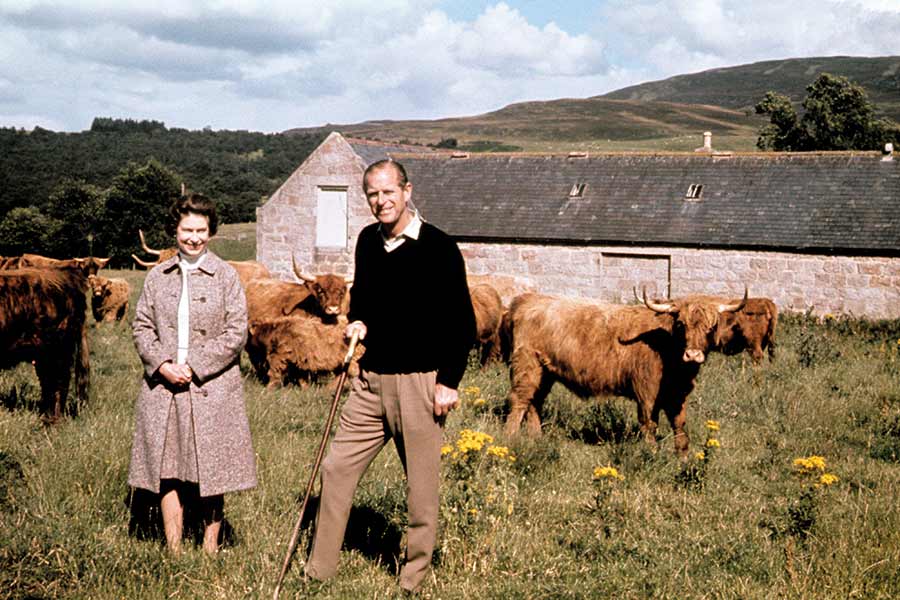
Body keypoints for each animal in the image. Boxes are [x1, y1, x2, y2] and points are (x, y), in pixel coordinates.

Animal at [506, 290, 744, 454]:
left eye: (711, 327)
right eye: (681, 325)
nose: (693, 355)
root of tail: (529, 299)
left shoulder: (677, 394)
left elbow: (680, 425)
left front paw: (683, 458)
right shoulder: (646, 393)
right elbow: (649, 424)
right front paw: (652, 454)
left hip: (545, 373)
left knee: (534, 402)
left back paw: (536, 437)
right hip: (527, 366)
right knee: (519, 401)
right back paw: (511, 438)